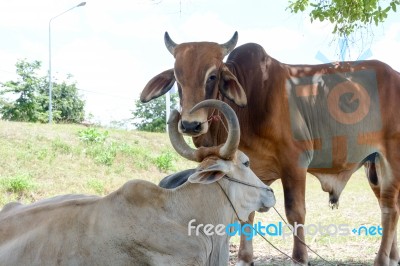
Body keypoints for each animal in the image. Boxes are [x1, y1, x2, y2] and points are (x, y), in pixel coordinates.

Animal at [141, 31, 400, 266]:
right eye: (177, 77)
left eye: (212, 75)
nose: (190, 124)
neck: (250, 103)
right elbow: (247, 214)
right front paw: (245, 259)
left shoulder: (295, 162)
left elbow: (295, 212)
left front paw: (300, 258)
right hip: (374, 165)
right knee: (391, 206)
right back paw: (393, 256)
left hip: (391, 159)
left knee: (389, 209)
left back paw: (381, 259)